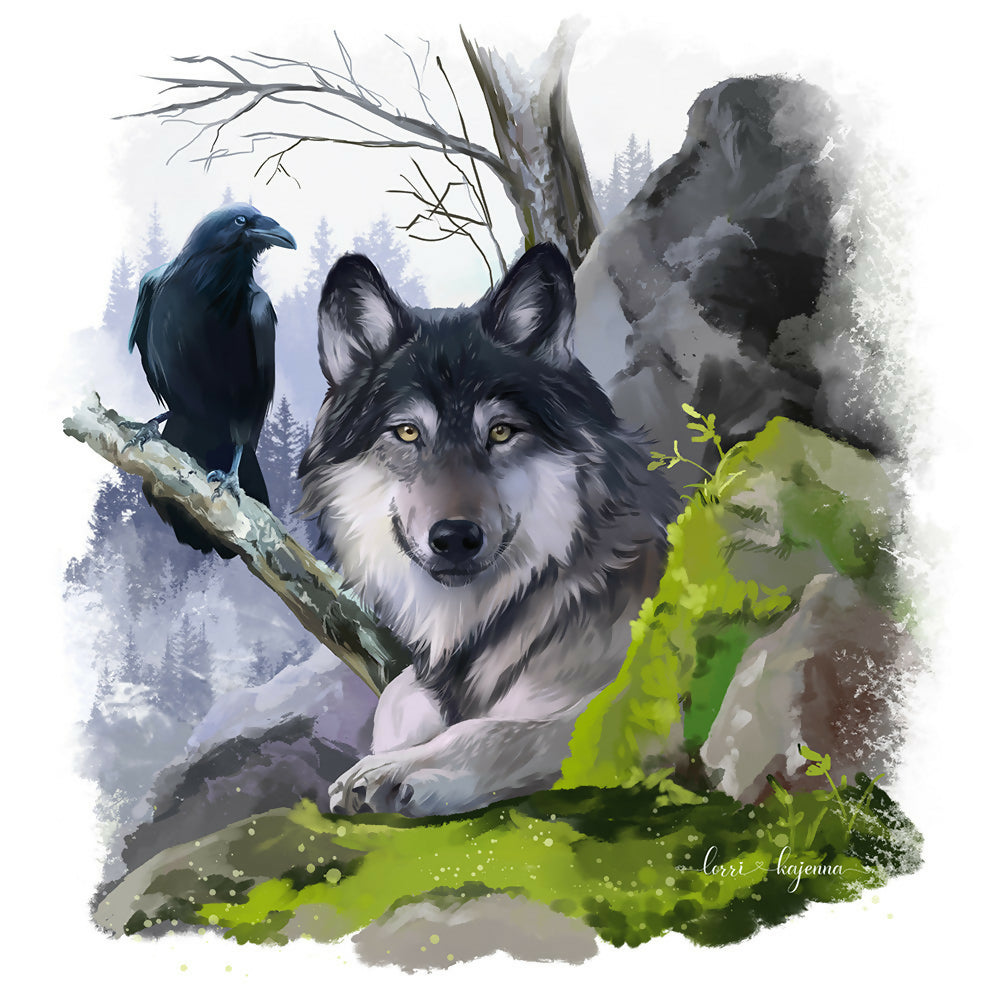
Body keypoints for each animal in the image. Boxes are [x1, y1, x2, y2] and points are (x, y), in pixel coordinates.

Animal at [299, 243, 678, 817]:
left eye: (500, 432)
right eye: (407, 432)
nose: (455, 537)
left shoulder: (646, 708)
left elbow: (491, 731)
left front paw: (395, 772)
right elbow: (399, 697)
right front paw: (387, 751)